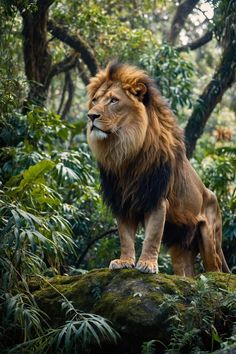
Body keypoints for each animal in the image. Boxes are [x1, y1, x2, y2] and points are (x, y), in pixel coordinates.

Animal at [85, 61, 230, 276]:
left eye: (113, 100)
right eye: (94, 100)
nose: (91, 116)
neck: (126, 152)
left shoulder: (157, 199)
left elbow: (152, 235)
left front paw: (147, 264)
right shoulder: (122, 201)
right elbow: (125, 237)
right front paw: (124, 261)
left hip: (209, 237)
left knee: (216, 268)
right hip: (182, 244)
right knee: (186, 273)